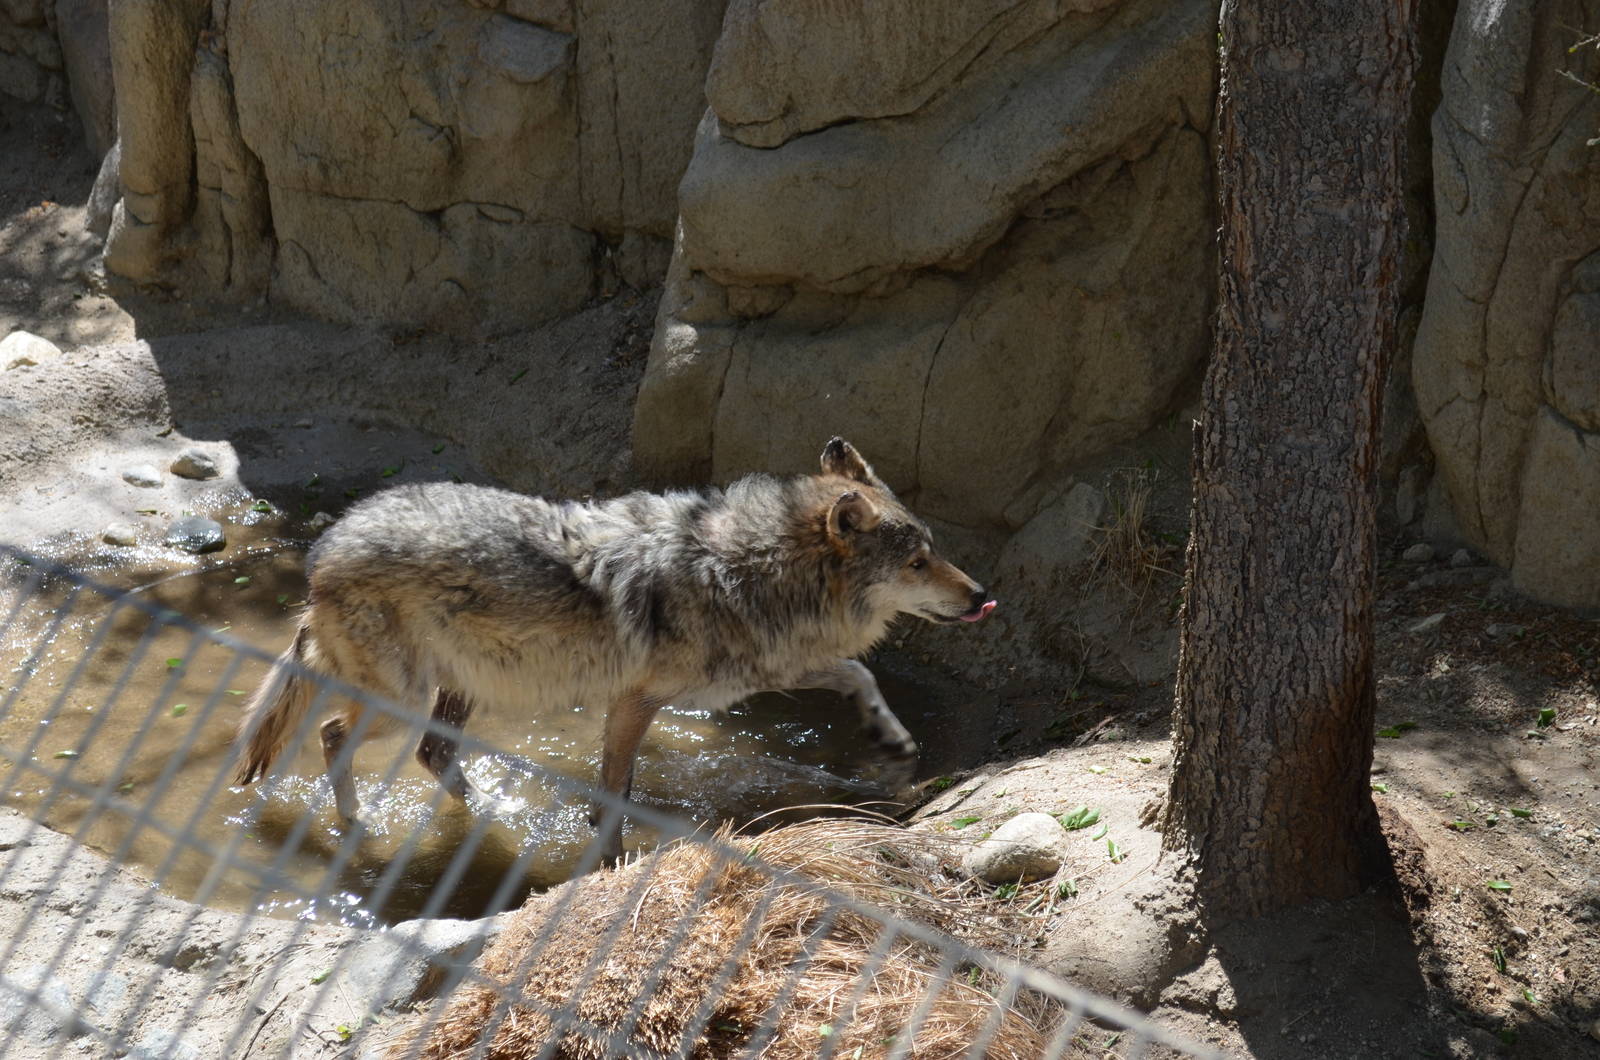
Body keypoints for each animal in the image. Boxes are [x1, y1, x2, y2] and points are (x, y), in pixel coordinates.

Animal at [233, 438, 995, 857]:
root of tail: (324, 551)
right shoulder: (637, 700)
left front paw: (891, 737)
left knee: (433, 753)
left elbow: (858, 672)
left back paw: (492, 815)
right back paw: (356, 823)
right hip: (403, 699)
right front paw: (609, 857)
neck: (748, 564)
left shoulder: (763, 669)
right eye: (917, 562)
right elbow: (615, 793)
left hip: (457, 691)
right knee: (333, 734)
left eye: (933, 550)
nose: (982, 594)